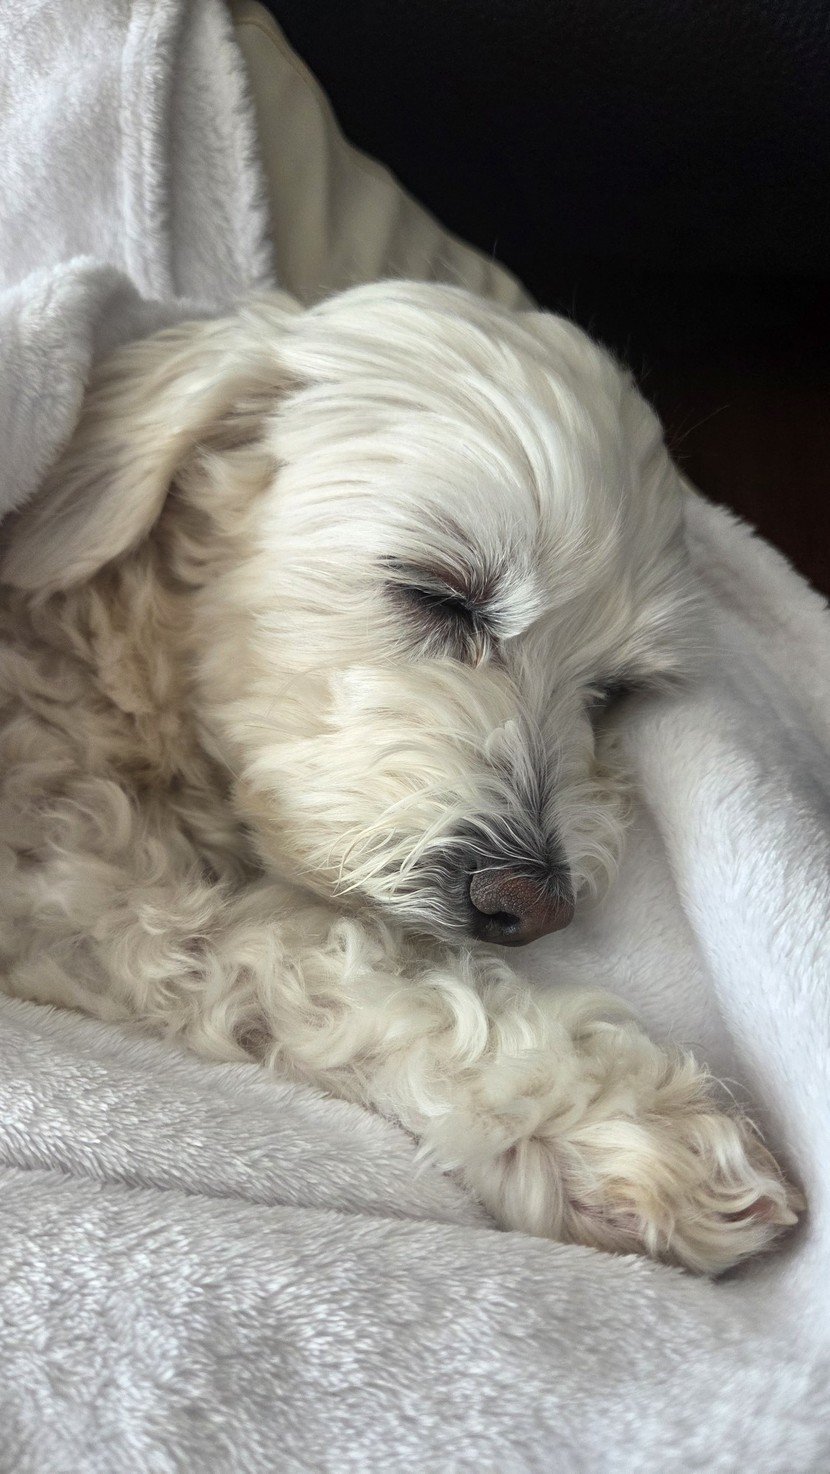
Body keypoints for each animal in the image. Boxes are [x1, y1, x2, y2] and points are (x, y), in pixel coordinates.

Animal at [0, 281, 801, 1273]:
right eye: (441, 593)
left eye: (611, 690)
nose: (532, 903)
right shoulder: (82, 878)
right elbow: (301, 955)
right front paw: (622, 1121)